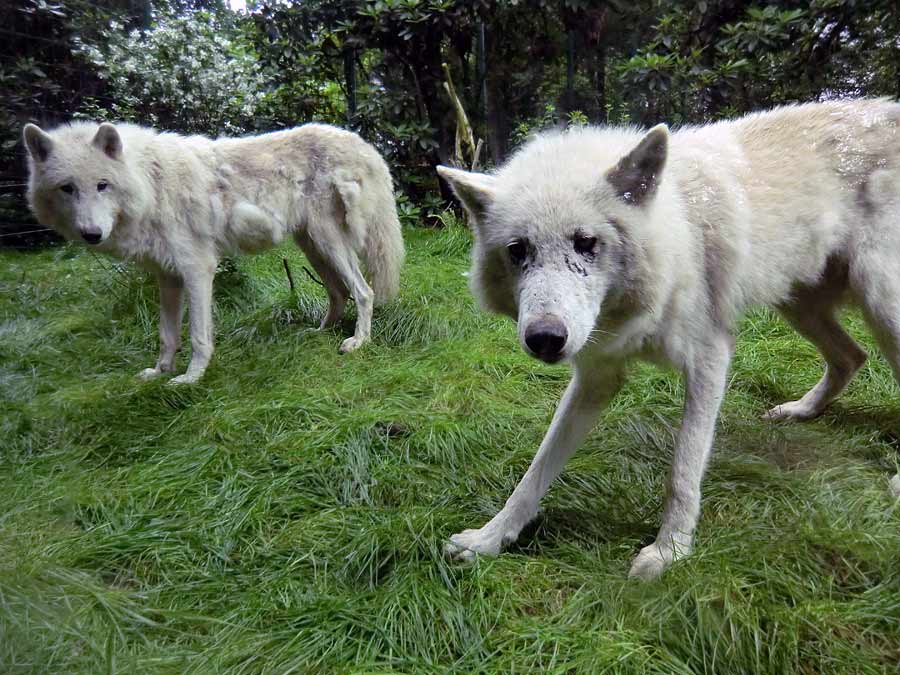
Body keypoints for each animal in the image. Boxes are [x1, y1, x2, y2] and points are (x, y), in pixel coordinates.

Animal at [22, 123, 402, 386]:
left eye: (103, 185)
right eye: (67, 188)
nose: (92, 234)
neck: (150, 183)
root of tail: (364, 144)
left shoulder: (198, 269)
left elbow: (198, 336)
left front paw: (191, 379)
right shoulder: (167, 276)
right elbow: (167, 335)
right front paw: (160, 372)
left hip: (328, 243)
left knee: (363, 292)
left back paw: (358, 341)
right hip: (313, 246)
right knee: (338, 292)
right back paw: (320, 332)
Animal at [440, 99, 900, 580]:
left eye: (586, 242)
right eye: (518, 250)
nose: (545, 338)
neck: (675, 243)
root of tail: (887, 108)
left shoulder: (709, 360)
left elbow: (682, 471)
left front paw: (669, 551)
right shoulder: (597, 375)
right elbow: (535, 471)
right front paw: (489, 539)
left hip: (880, 303)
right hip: (798, 304)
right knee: (852, 356)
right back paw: (800, 410)